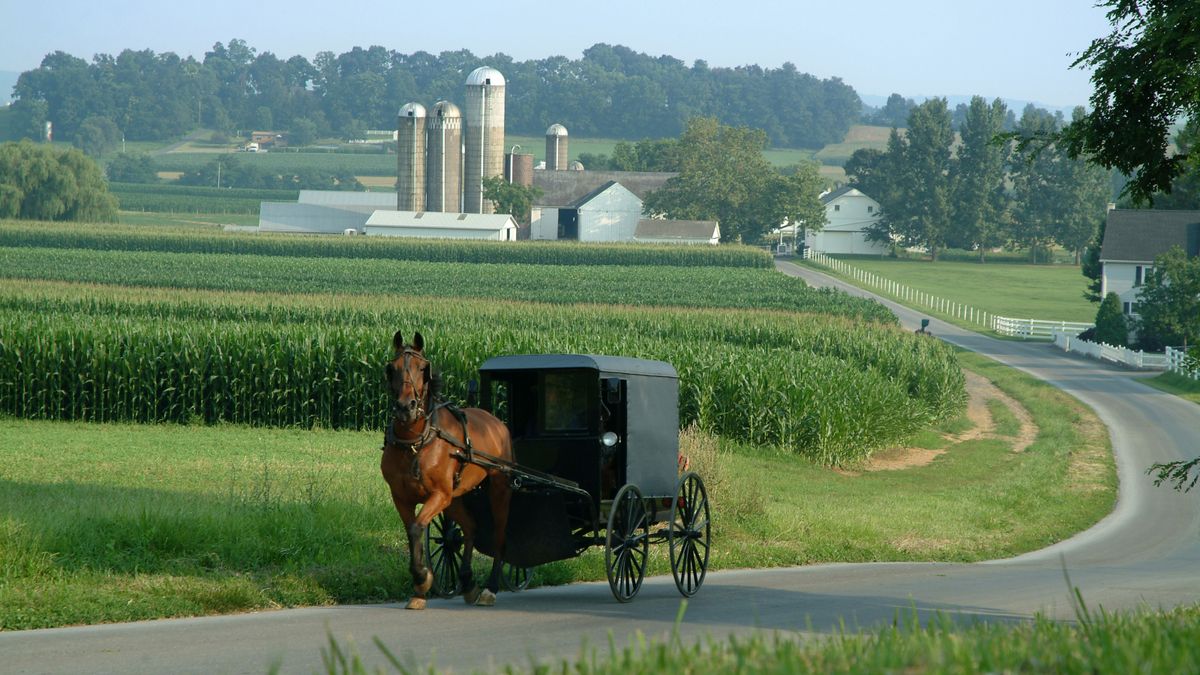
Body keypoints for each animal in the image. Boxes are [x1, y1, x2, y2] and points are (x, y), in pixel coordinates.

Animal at [381, 329, 513, 607]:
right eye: (392, 368)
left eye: (423, 368)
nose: (405, 407)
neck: (416, 441)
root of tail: (496, 421)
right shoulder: (401, 496)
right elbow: (412, 531)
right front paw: (419, 589)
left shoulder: (439, 494)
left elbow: (417, 527)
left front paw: (423, 578)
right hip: (455, 497)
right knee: (470, 527)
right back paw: (467, 582)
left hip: (498, 488)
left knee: (499, 535)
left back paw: (490, 588)